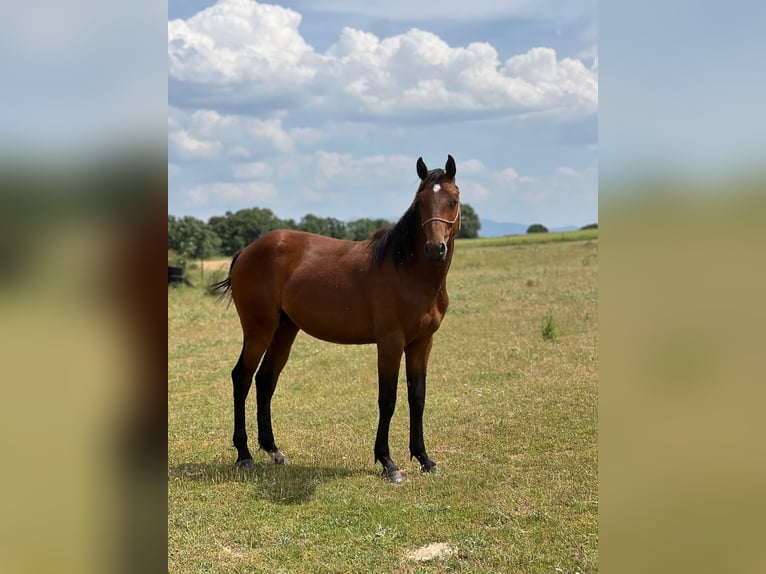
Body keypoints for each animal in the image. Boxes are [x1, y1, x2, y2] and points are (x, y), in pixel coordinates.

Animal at [210, 155, 461, 483]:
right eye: (420, 203)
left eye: (453, 201)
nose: (434, 249)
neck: (407, 272)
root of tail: (248, 251)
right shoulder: (390, 342)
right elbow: (388, 399)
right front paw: (388, 462)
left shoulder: (422, 343)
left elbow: (417, 398)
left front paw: (424, 459)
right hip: (258, 331)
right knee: (242, 377)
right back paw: (244, 455)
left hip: (284, 330)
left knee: (265, 380)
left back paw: (274, 451)